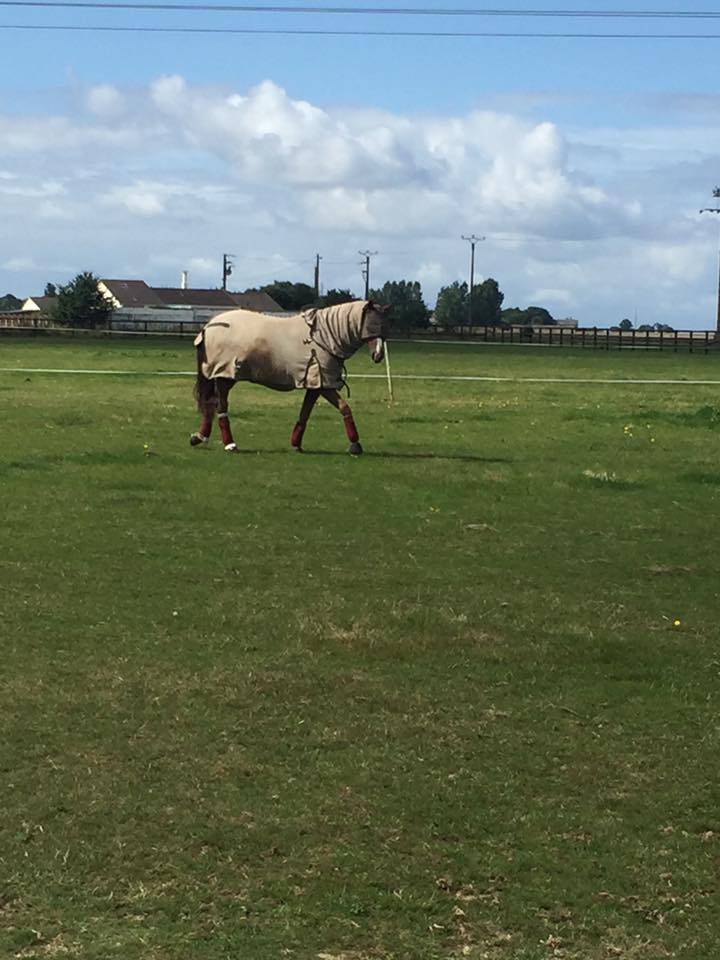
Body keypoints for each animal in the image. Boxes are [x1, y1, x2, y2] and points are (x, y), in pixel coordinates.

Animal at [190, 299, 392, 455]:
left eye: (384, 326)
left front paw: (296, 444)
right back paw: (229, 444)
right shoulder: (324, 385)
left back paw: (200, 437)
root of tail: (210, 326)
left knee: (211, 403)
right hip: (226, 376)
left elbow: (305, 413)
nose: (378, 355)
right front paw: (355, 445)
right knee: (220, 406)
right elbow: (344, 407)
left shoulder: (315, 384)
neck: (323, 338)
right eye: (371, 325)